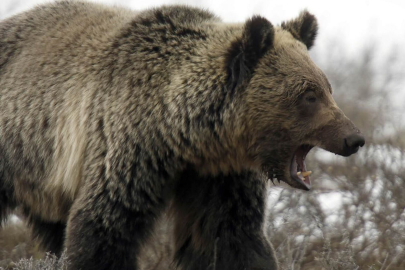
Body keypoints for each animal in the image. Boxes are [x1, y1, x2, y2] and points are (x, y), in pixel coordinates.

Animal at [0, 1, 362, 268]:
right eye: (309, 96)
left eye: (327, 88)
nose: (354, 138)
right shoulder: (127, 150)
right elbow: (103, 228)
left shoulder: (218, 177)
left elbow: (230, 236)